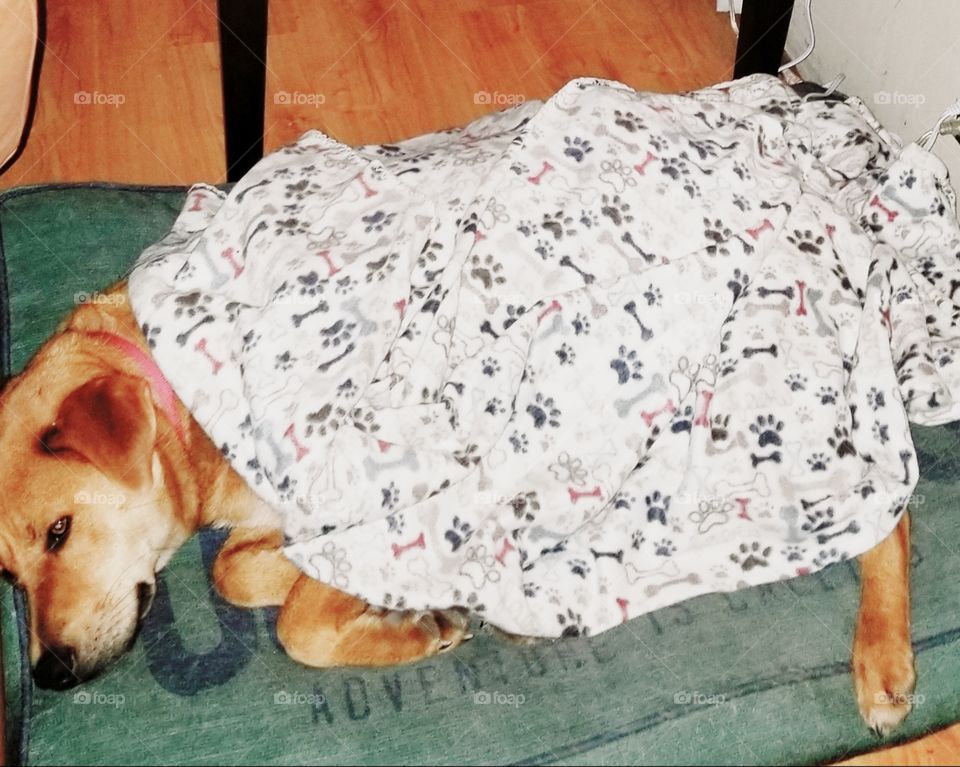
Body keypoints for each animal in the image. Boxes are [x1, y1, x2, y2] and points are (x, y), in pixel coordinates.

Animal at [0, 280, 916, 732]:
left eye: (60, 530)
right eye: (7, 575)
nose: (46, 673)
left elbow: (299, 623)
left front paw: (413, 625)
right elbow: (240, 572)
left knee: (889, 502)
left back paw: (882, 654)